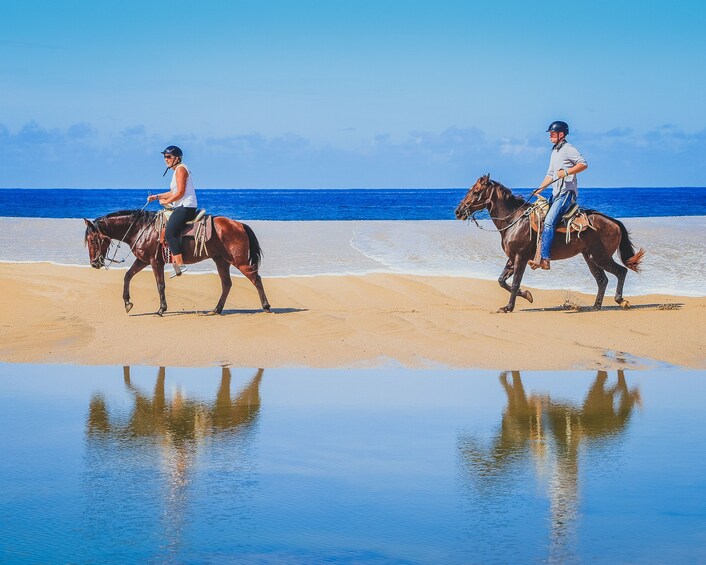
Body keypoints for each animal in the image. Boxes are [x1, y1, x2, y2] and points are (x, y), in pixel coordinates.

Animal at [82, 208, 270, 316]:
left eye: (92, 240)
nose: (94, 264)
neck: (141, 228)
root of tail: (240, 225)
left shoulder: (155, 261)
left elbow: (160, 285)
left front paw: (161, 309)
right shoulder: (142, 260)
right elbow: (127, 276)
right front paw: (128, 303)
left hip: (239, 261)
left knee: (256, 279)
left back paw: (266, 306)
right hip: (221, 261)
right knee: (227, 284)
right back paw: (216, 309)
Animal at [452, 173, 644, 310]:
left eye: (476, 192)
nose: (458, 211)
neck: (514, 220)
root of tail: (614, 222)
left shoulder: (521, 257)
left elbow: (514, 283)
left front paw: (508, 307)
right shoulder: (512, 258)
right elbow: (502, 281)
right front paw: (527, 295)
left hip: (600, 257)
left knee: (621, 272)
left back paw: (621, 301)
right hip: (590, 257)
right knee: (602, 280)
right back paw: (595, 306)